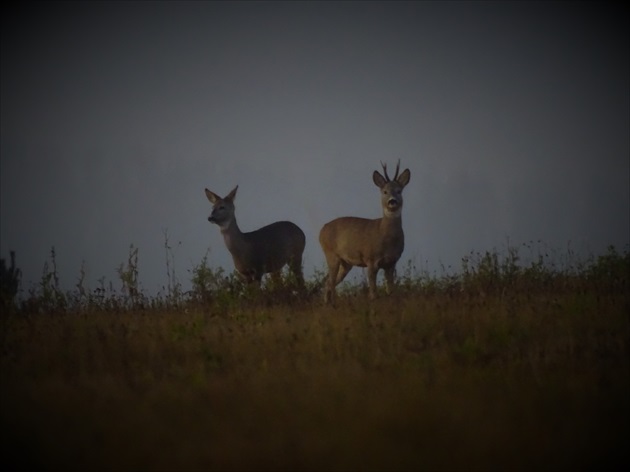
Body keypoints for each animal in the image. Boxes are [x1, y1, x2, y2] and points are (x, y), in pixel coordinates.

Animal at [318, 161, 412, 302]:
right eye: (384, 191)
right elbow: (373, 293)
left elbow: (391, 291)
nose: (392, 201)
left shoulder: (392, 262)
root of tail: (322, 230)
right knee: (330, 282)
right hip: (331, 254)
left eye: (399, 191)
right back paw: (332, 303)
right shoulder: (371, 259)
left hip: (346, 263)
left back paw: (328, 303)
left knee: (328, 282)